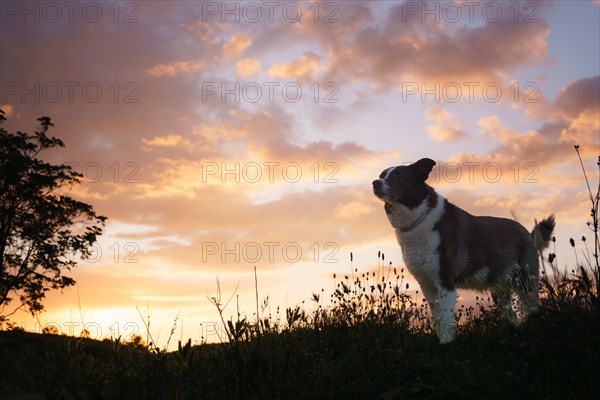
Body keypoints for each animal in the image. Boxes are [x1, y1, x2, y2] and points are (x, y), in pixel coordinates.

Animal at [372, 158, 556, 342]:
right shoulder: (426, 284)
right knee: (511, 311)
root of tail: (528, 233)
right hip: (500, 289)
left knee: (533, 307)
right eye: (381, 175)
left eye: (399, 175)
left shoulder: (445, 280)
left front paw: (447, 344)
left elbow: (446, 319)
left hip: (525, 281)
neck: (419, 219)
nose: (375, 183)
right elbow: (438, 318)